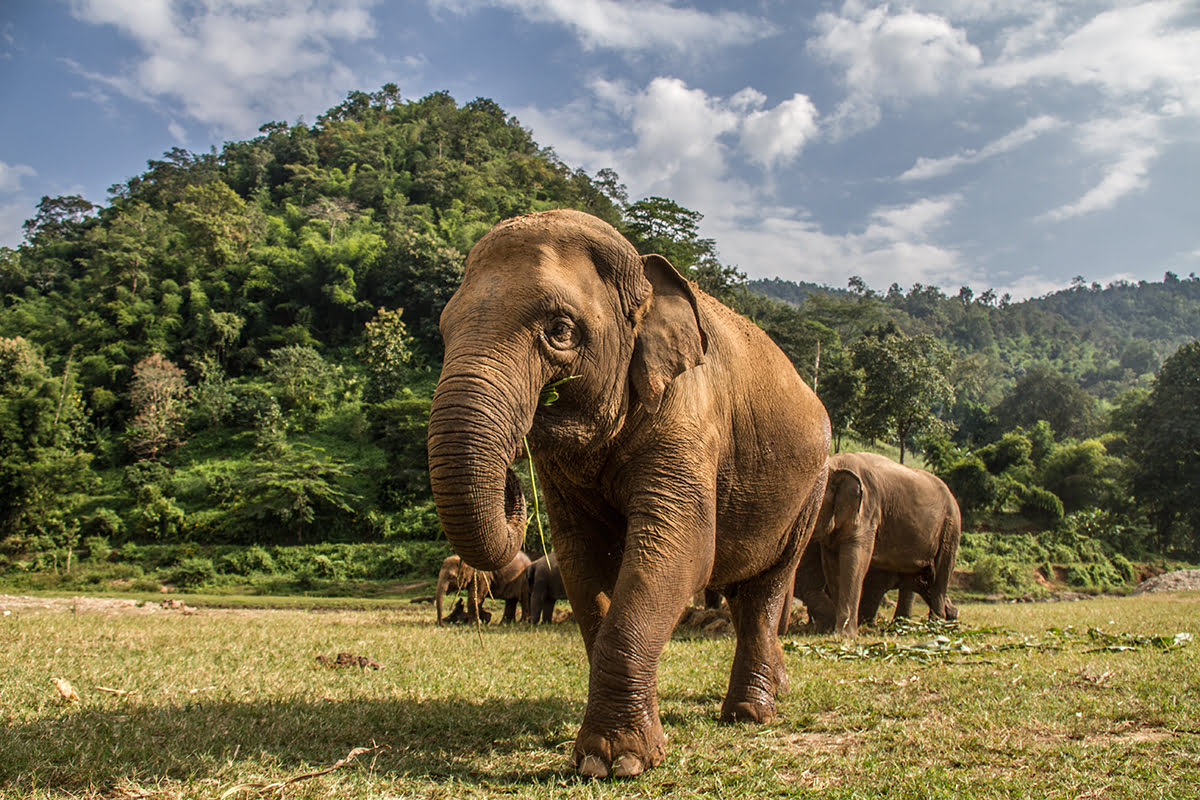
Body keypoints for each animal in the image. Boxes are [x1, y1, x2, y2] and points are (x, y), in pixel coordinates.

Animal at [427, 209, 830, 777]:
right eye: (444, 329)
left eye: (560, 330)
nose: (512, 481)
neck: (641, 272)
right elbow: (584, 561)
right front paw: (609, 755)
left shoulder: (689, 416)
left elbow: (680, 552)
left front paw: (615, 762)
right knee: (741, 586)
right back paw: (776, 689)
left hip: (811, 487)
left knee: (766, 585)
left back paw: (750, 714)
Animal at [811, 450, 960, 638]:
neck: (837, 463)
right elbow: (831, 564)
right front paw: (833, 630)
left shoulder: (868, 511)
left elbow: (855, 559)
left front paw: (845, 635)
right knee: (911, 577)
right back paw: (902, 625)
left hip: (950, 528)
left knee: (940, 575)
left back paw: (935, 626)